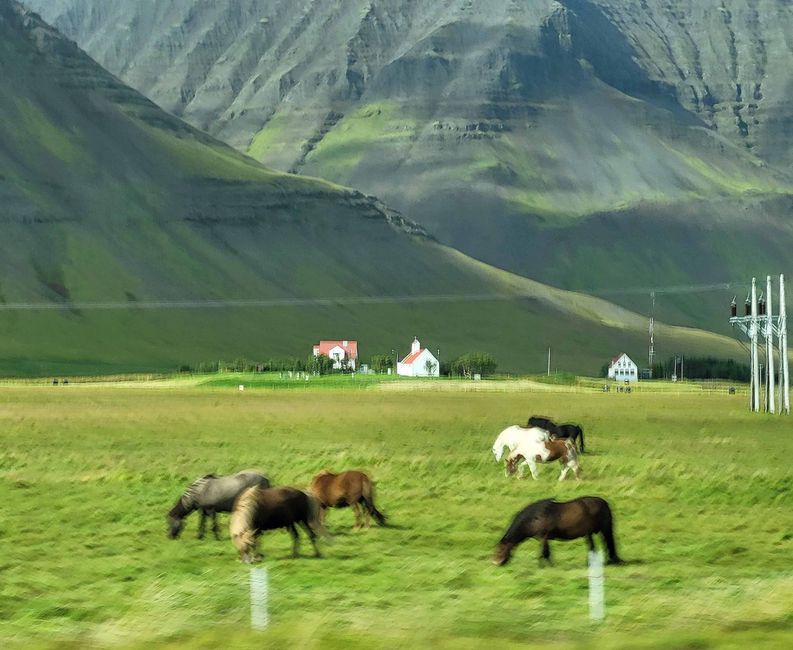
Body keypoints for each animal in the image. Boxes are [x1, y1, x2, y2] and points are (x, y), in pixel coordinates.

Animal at [492, 494, 620, 564]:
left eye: (500, 550)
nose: (495, 563)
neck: (534, 518)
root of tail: (604, 503)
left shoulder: (543, 536)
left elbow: (544, 553)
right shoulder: (544, 538)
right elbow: (545, 553)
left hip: (604, 529)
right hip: (589, 533)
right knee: (593, 547)